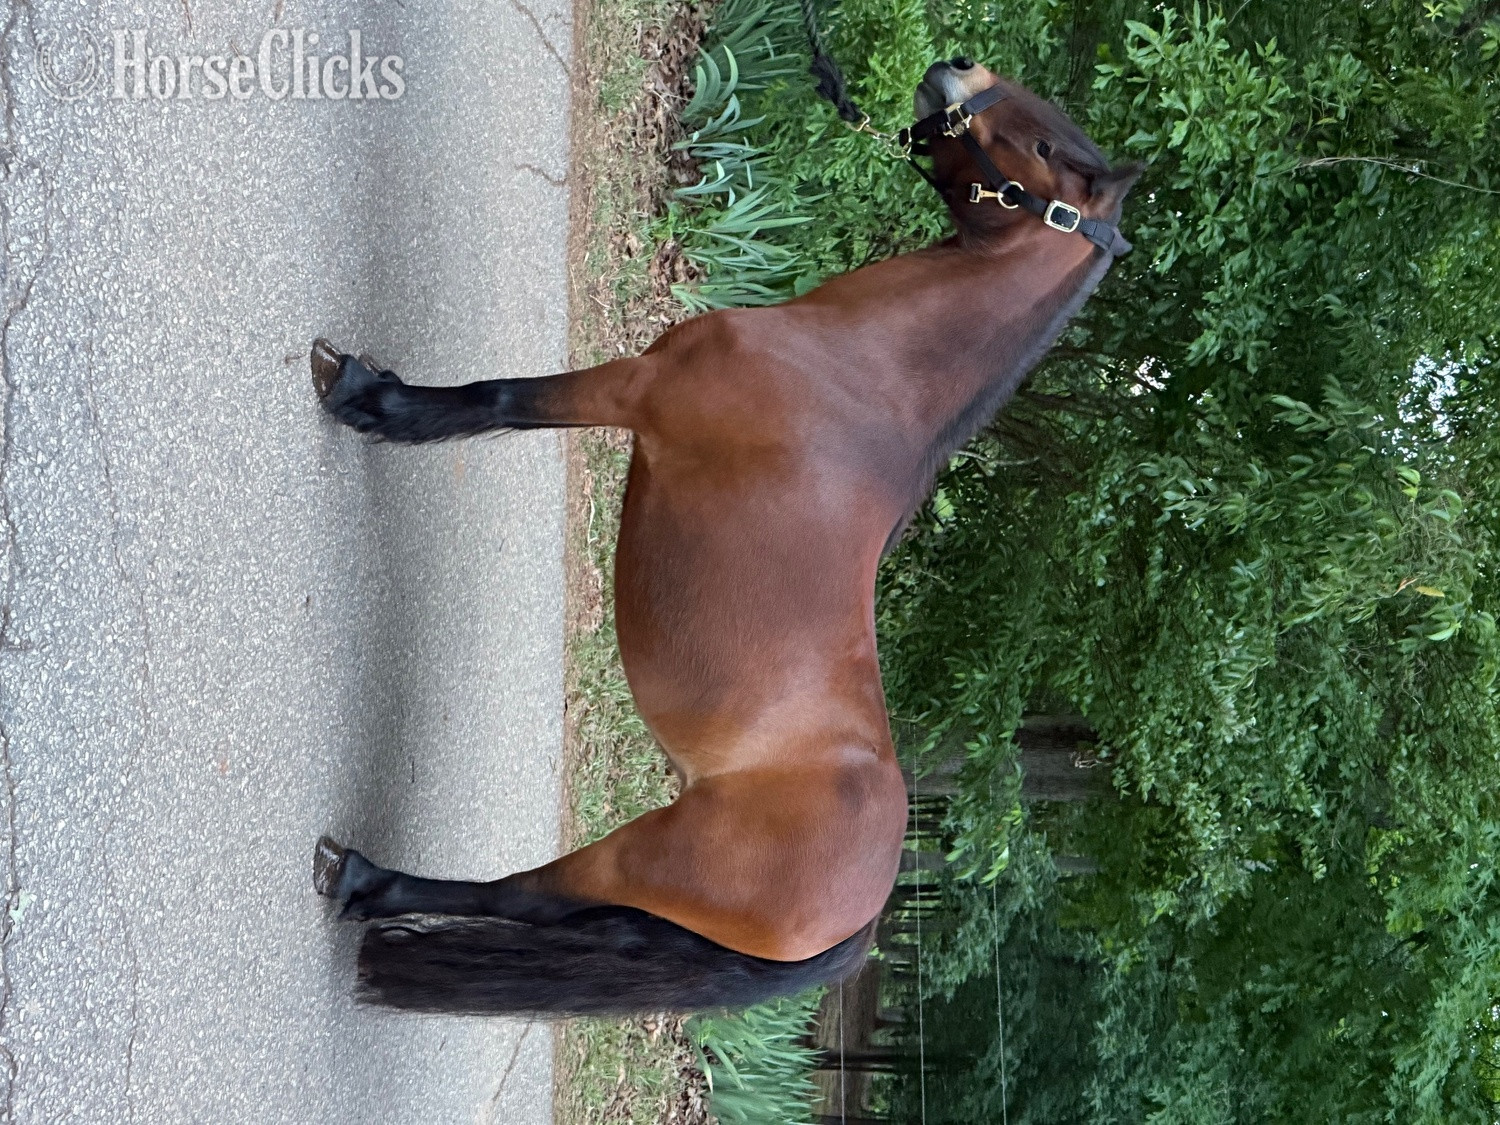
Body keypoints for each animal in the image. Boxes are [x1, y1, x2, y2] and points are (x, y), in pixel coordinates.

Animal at [310, 57, 1141, 1017]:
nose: (952, 69)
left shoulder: (635, 388)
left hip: (644, 856)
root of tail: (861, 918)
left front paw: (374, 402)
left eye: (1044, 147)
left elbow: (504, 400)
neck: (860, 379)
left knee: (525, 894)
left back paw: (363, 879)